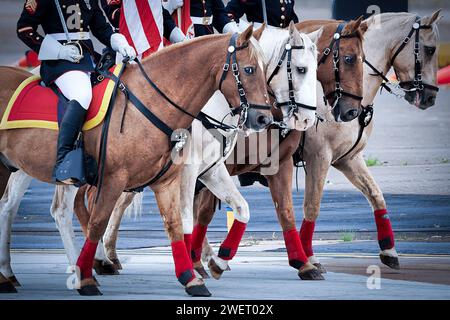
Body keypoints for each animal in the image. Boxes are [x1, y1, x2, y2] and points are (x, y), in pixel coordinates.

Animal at [0, 23, 324, 292]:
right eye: (300, 69)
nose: (263, 119)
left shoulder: (209, 171)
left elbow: (242, 210)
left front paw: (213, 263)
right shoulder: (180, 174)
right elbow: (185, 219)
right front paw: (198, 265)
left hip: (30, 169)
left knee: (39, 209)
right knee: (52, 209)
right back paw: (83, 267)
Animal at [196, 11, 440, 278]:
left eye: (363, 59)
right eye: (429, 49)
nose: (430, 96)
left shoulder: (347, 159)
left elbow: (375, 195)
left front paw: (389, 250)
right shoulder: (318, 157)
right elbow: (312, 205)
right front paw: (308, 256)